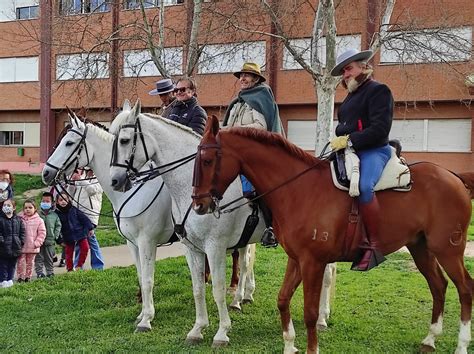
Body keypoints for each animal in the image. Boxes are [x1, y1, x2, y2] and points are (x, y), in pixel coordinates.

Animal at [109, 101, 336, 348]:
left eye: (124, 140)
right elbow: (198, 288)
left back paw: (322, 317)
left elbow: (217, 289)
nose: (115, 180)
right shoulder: (192, 248)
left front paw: (221, 332)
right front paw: (197, 329)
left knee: (327, 273)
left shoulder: (214, 247)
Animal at [191, 115, 472, 352]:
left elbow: (310, 312)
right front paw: (290, 345)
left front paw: (310, 348)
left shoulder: (313, 263)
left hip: (448, 250)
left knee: (465, 288)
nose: (198, 205)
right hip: (421, 247)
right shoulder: (297, 259)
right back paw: (430, 339)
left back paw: (460, 345)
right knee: (439, 286)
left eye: (207, 161)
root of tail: (454, 177)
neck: (298, 189)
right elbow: (283, 299)